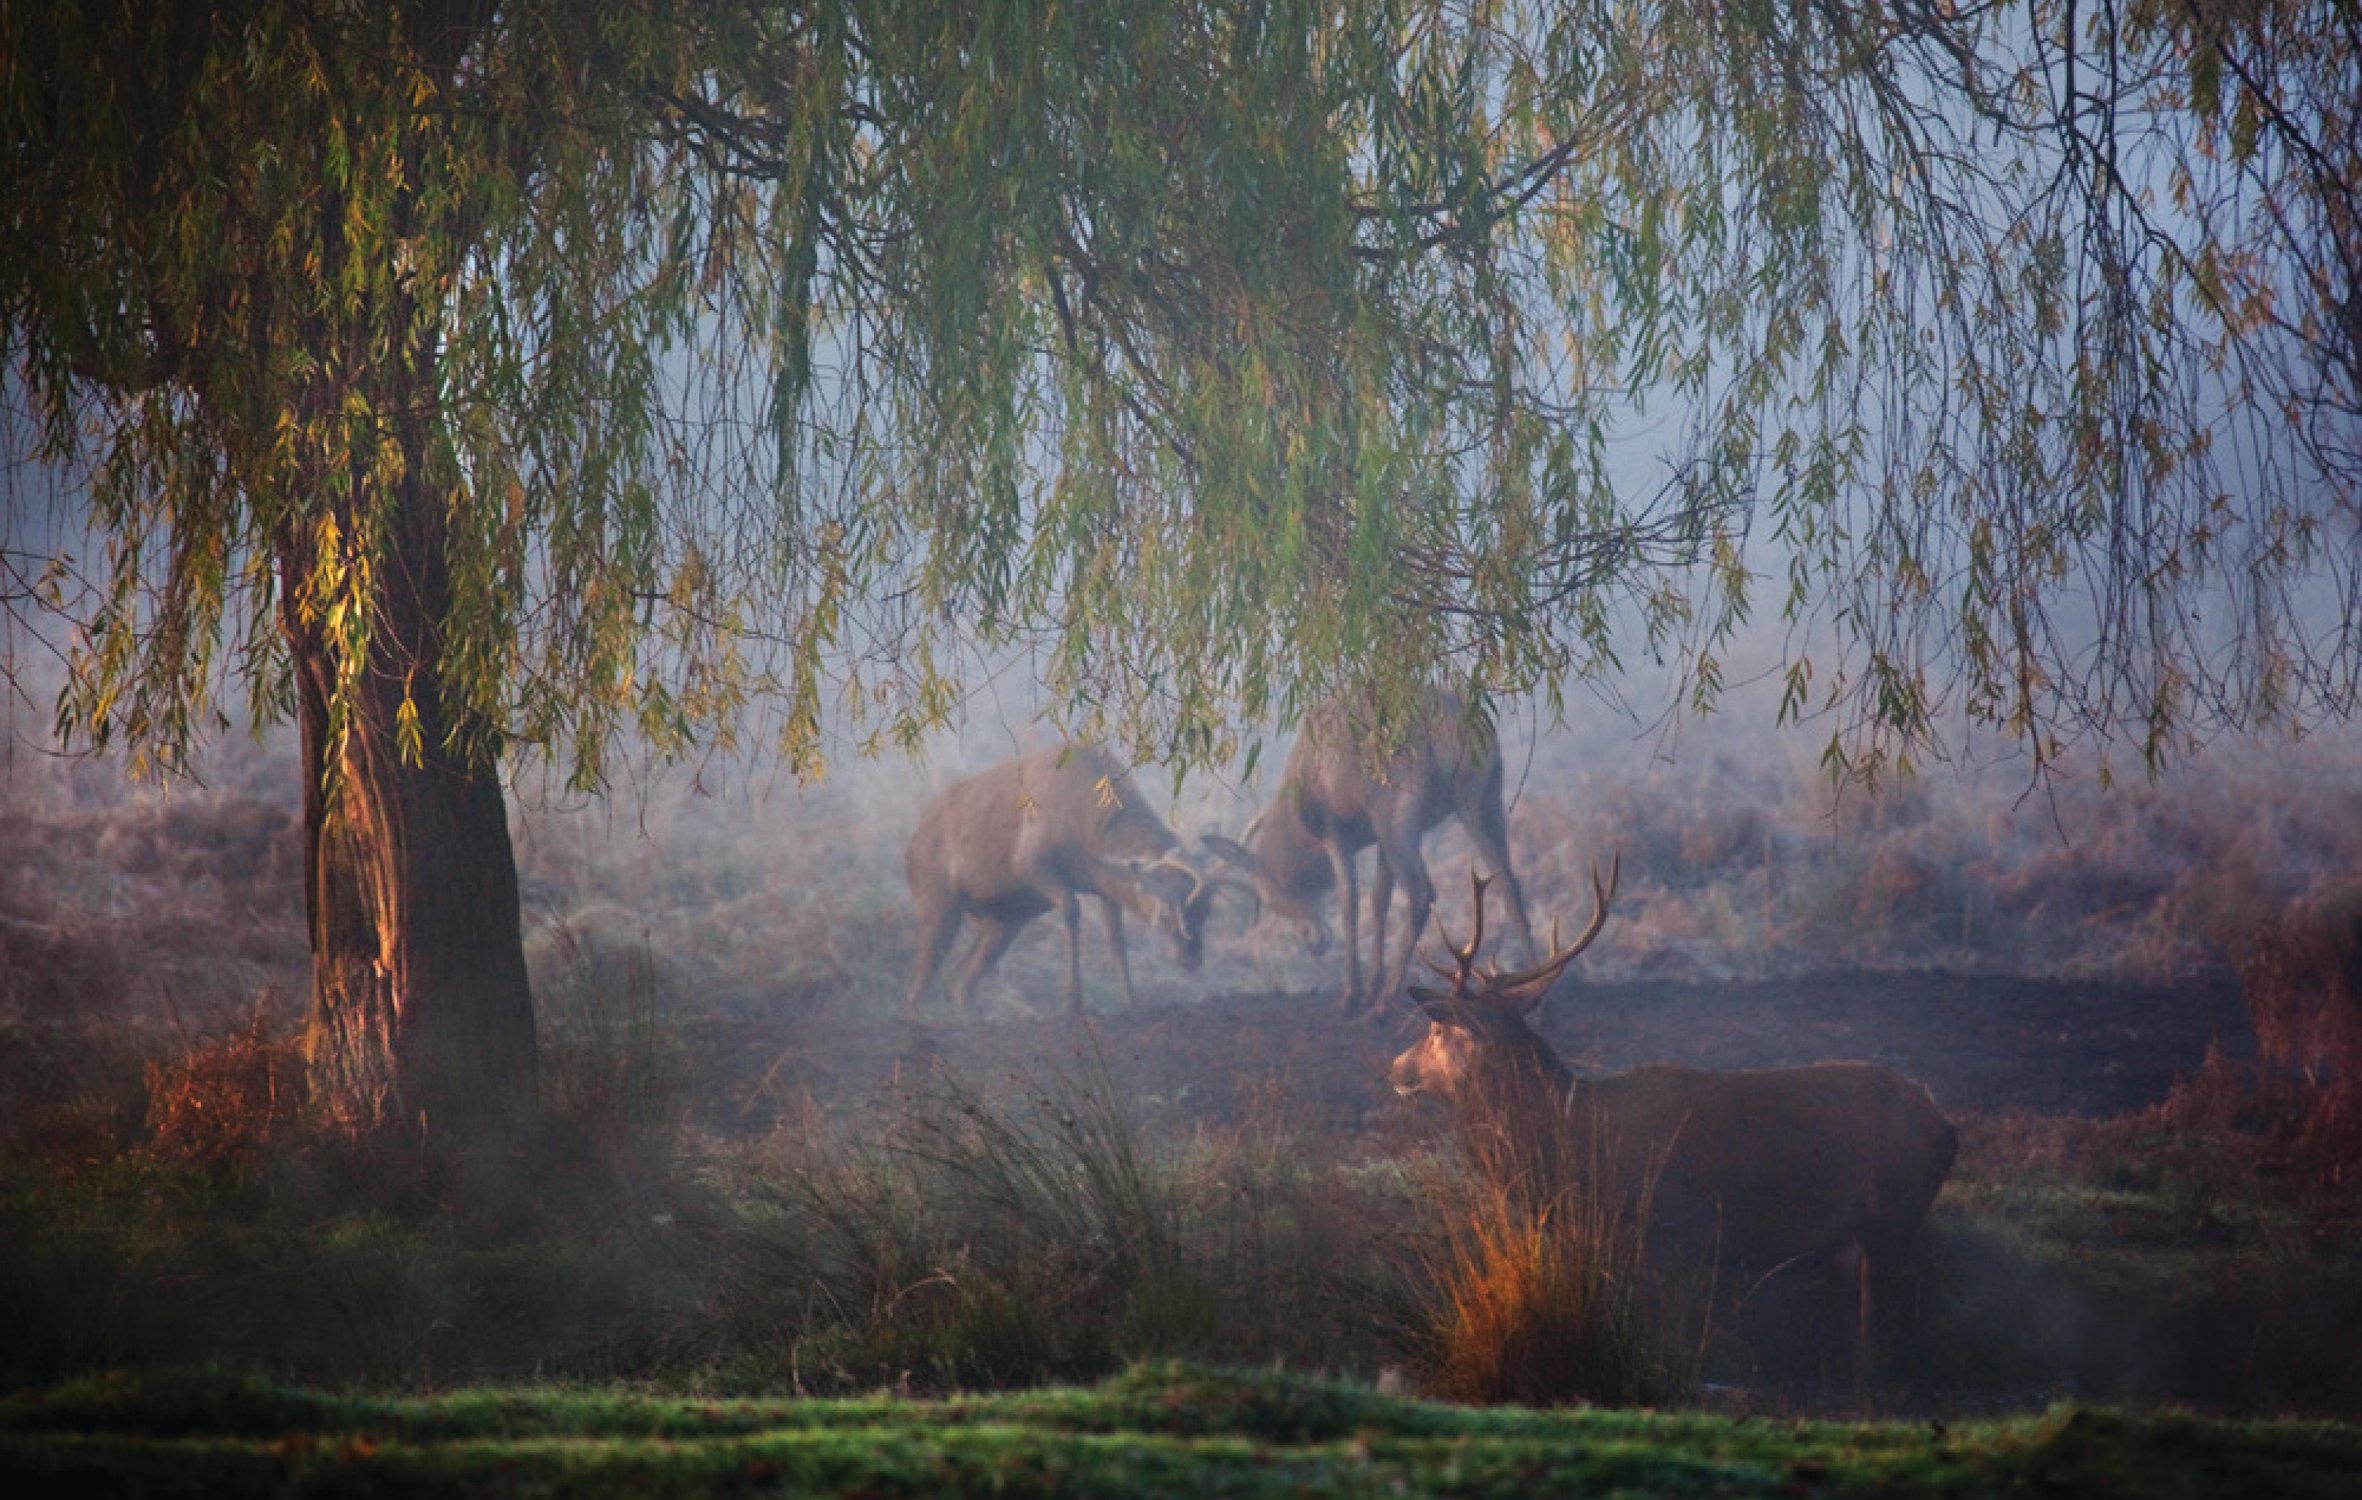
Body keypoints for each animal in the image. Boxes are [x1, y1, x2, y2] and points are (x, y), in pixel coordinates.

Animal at [897, 746, 1247, 1020]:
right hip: (936, 902)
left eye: (1207, 912)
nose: (1191, 961)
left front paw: (1132, 1001)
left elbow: (1116, 941)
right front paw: (1073, 1002)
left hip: (1004, 921)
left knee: (960, 983)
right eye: (1163, 915)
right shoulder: (1030, 859)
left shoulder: (1106, 886)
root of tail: (910, 845)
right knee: (917, 982)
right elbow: (1071, 908)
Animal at [1209, 689, 1540, 1015]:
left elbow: (1350, 902)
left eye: (1270, 896)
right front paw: (1371, 986)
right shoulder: (1377, 839)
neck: (1298, 826)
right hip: (1482, 796)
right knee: (1509, 880)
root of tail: (1456, 724)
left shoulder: (1335, 831)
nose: (1313, 941)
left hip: (1396, 809)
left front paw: (1353, 995)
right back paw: (1534, 991)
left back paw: (1385, 1002)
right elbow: (1379, 898)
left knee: (1422, 891)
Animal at [1388, 869, 1965, 1388]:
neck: (1575, 1147)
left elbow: (1668, 1343)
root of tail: (1945, 1125)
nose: (1395, 1068)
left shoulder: (1677, 1231)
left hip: (1896, 1213)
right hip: (1859, 1237)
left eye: (1436, 1031)